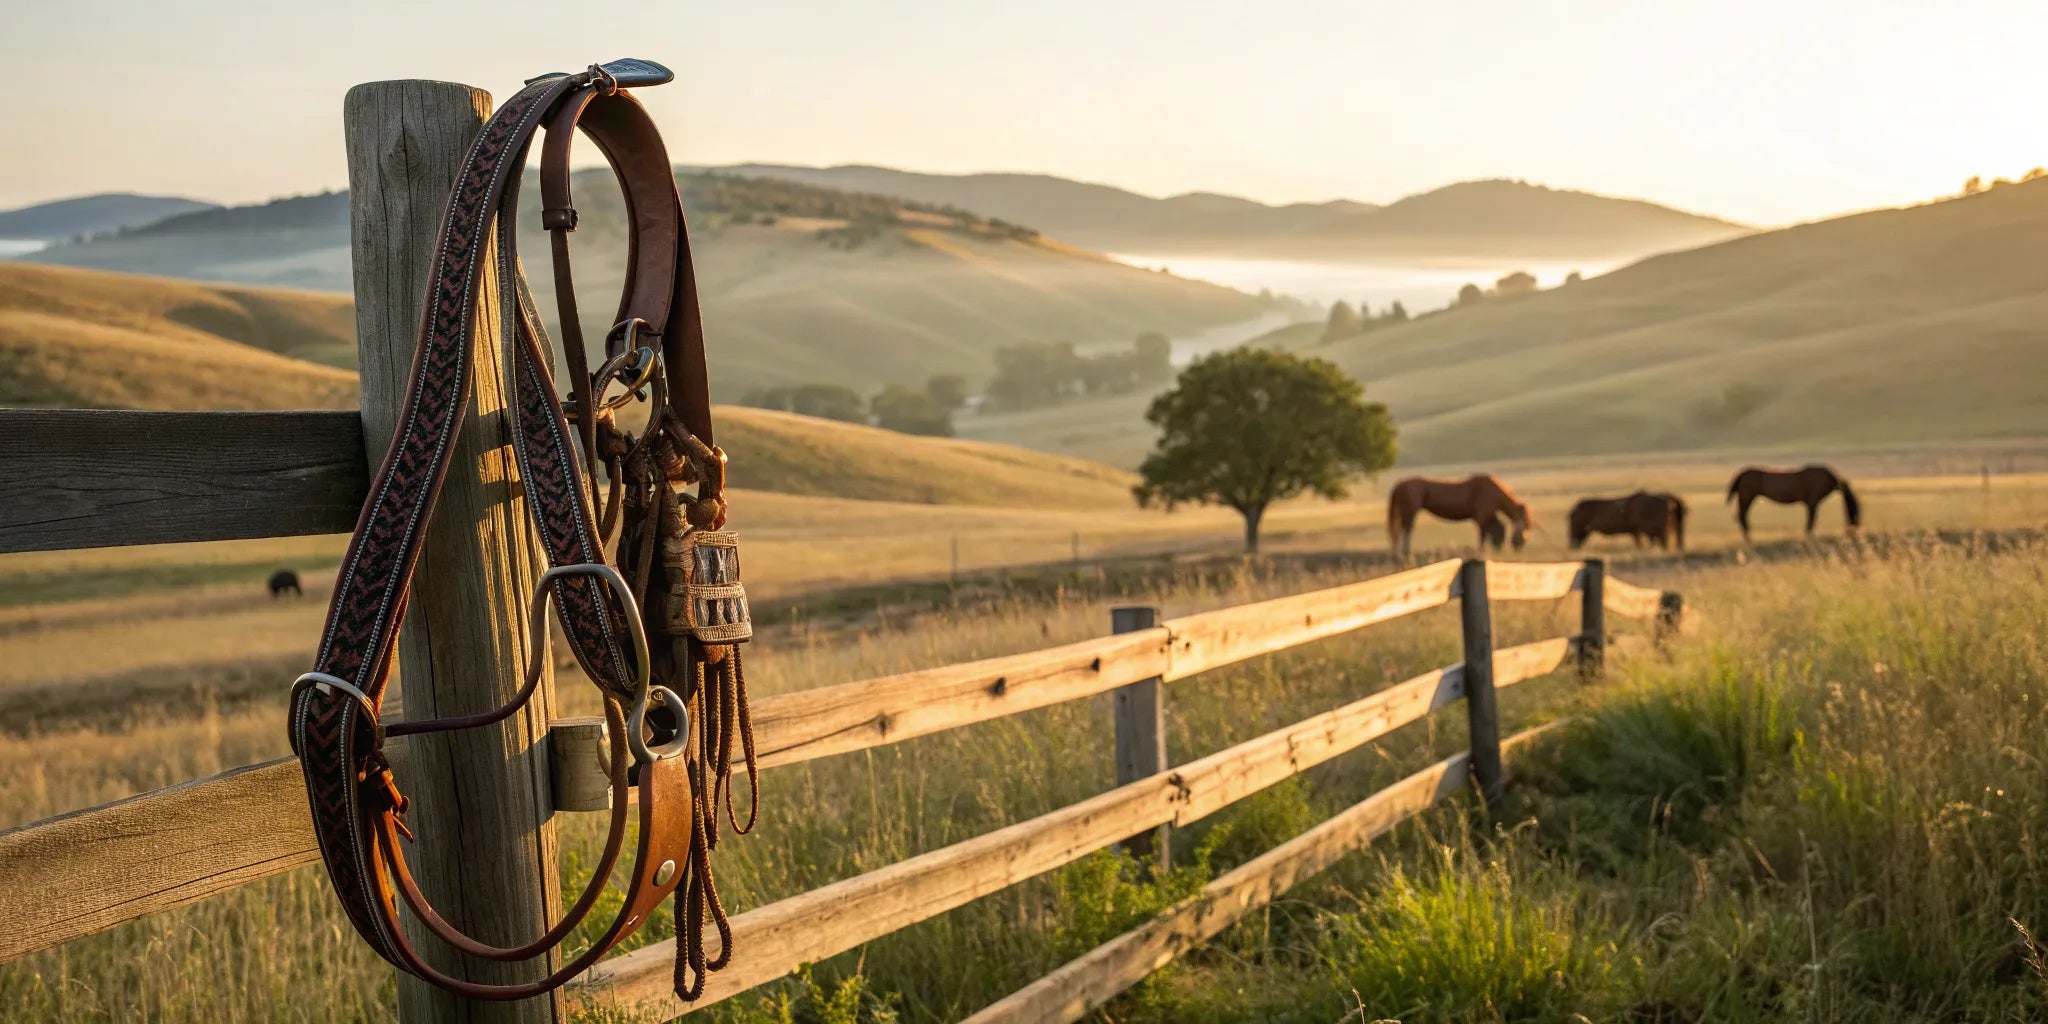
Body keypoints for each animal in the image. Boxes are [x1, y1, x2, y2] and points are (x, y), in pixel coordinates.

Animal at [1387, 474, 1536, 562]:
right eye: (1526, 523)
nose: (1519, 544)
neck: (1494, 491)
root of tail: (1399, 484)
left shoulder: (1489, 516)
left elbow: (1498, 530)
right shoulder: (1482, 518)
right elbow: (1483, 537)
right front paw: (1481, 555)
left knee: (1399, 531)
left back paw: (1398, 556)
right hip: (1410, 513)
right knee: (1406, 530)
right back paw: (1405, 555)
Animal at [1726, 464, 1860, 541]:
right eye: (1854, 515)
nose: (1852, 533)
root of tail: (1742, 474)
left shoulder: (1811, 504)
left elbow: (1810, 521)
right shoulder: (1812, 503)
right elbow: (1810, 522)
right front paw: (1809, 538)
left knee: (1741, 516)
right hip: (1746, 498)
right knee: (1742, 516)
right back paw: (1748, 539)